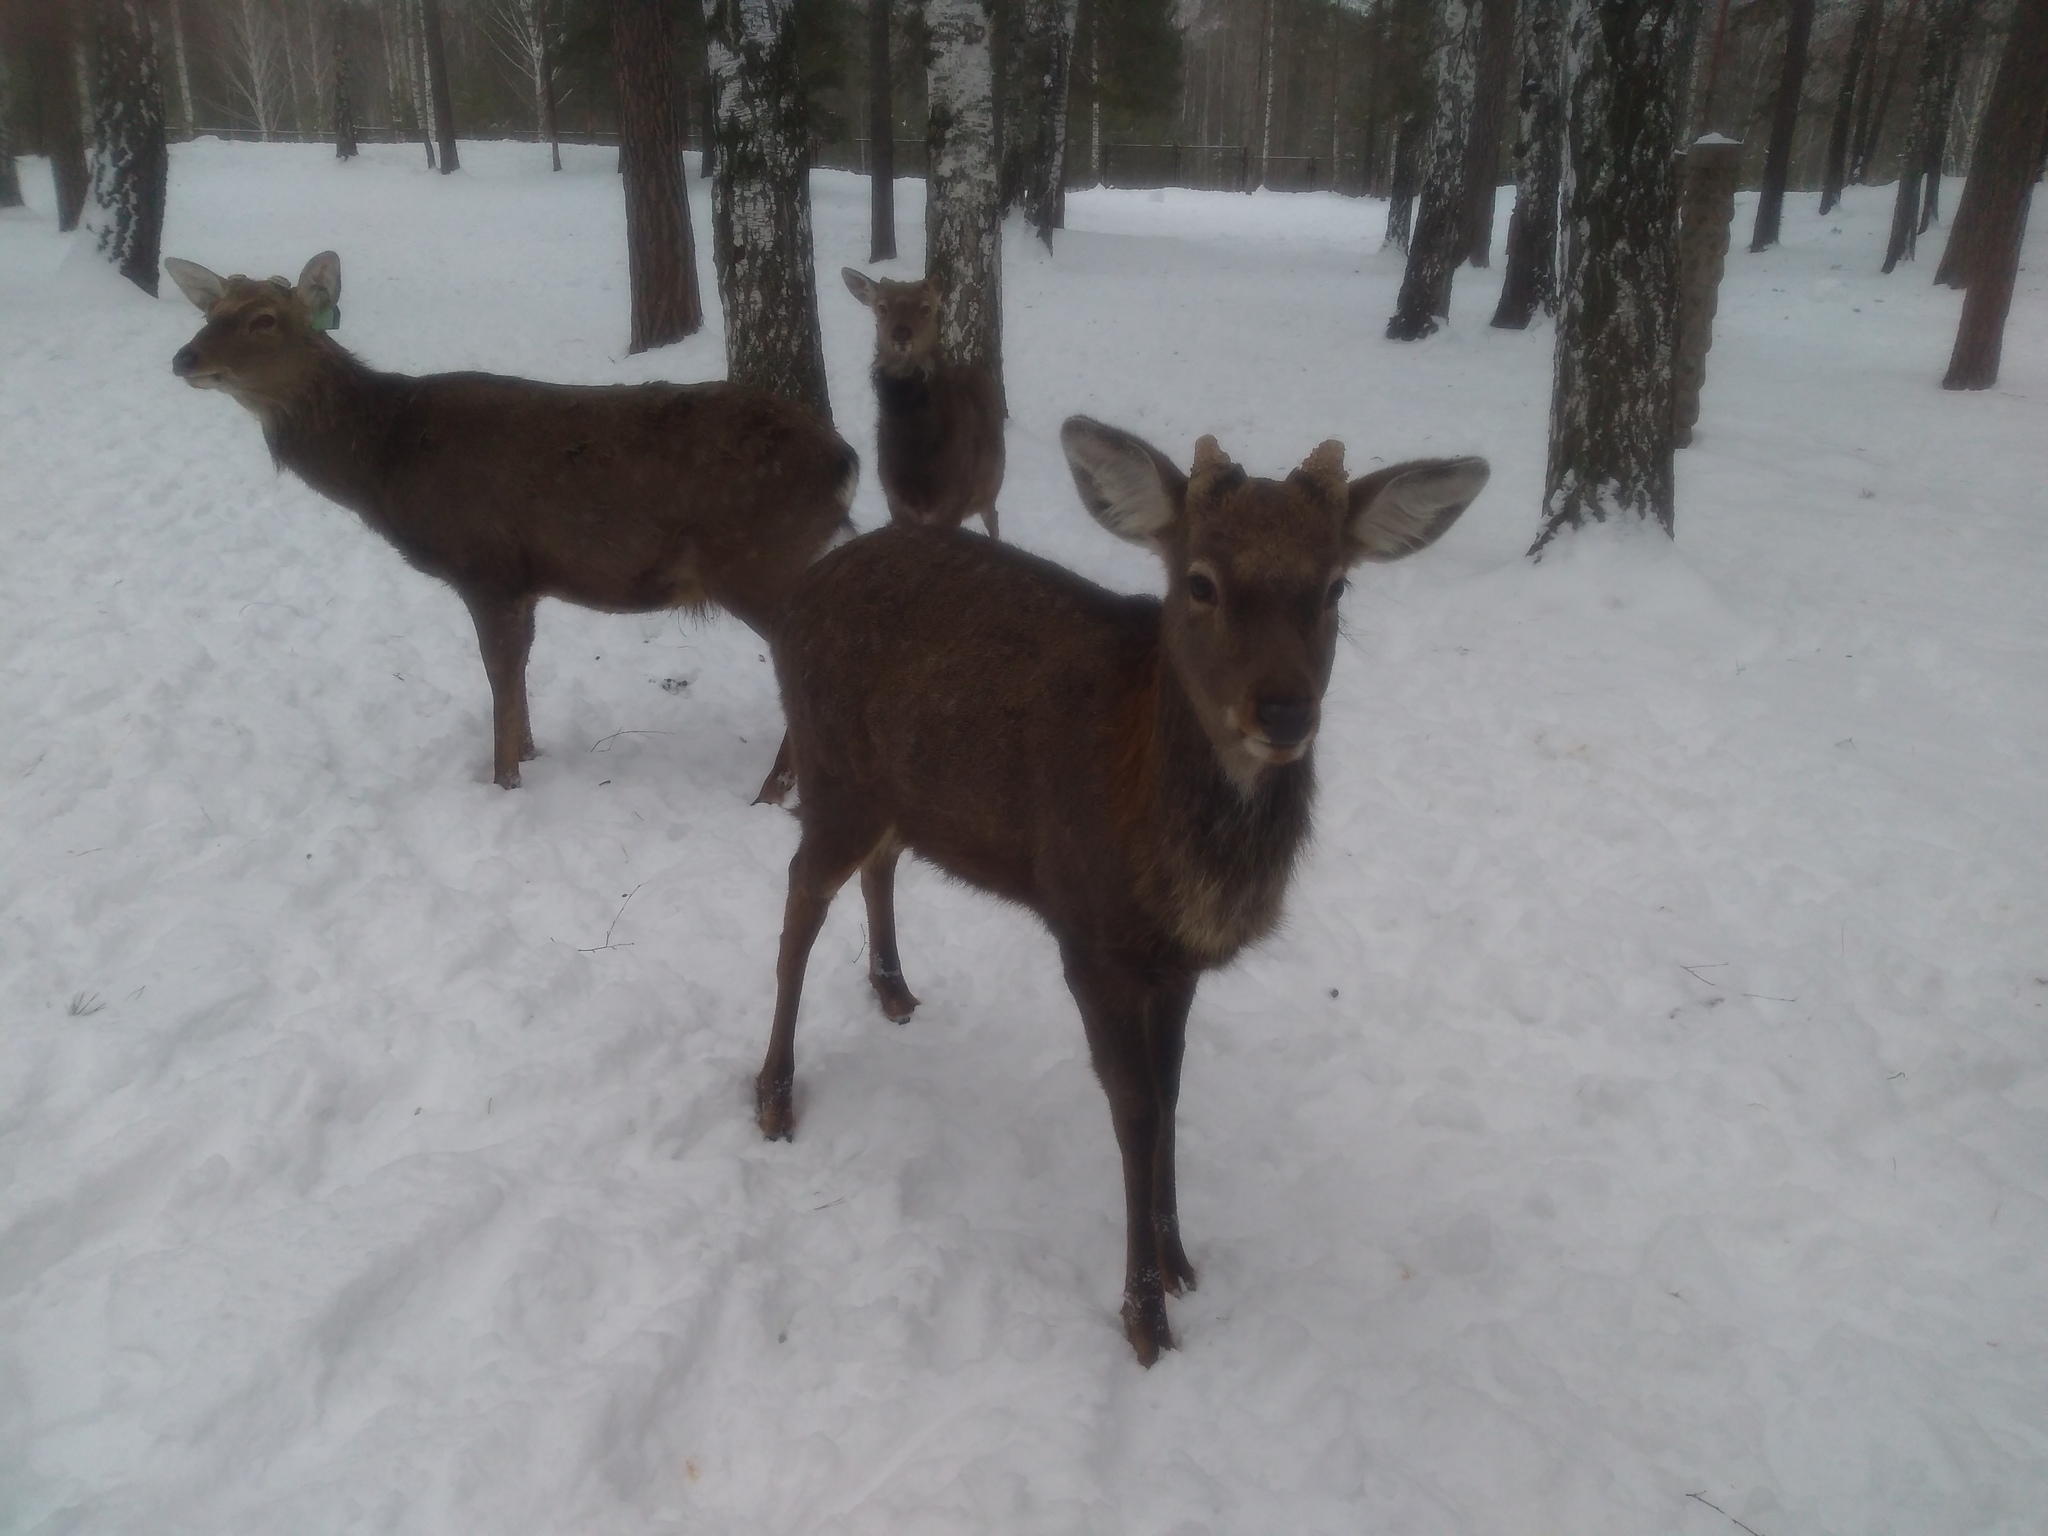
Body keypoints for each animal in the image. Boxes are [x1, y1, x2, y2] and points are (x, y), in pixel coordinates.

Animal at [753, 415, 1490, 1368]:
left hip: (892, 796)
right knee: (799, 901)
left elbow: (1171, 1097)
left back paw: (894, 990)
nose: (1284, 710)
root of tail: (799, 591)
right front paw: (1145, 1318)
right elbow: (1134, 1113)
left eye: (1336, 587)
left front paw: (1180, 1265)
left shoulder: (1174, 966)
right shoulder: (1088, 934)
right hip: (830, 769)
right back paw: (774, 1096)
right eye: (1202, 581)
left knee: (879, 866)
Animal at [843, 268, 1003, 540]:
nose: (901, 333)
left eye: (926, 308)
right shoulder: (894, 497)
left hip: (991, 486)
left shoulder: (955, 496)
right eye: (882, 307)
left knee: (994, 518)